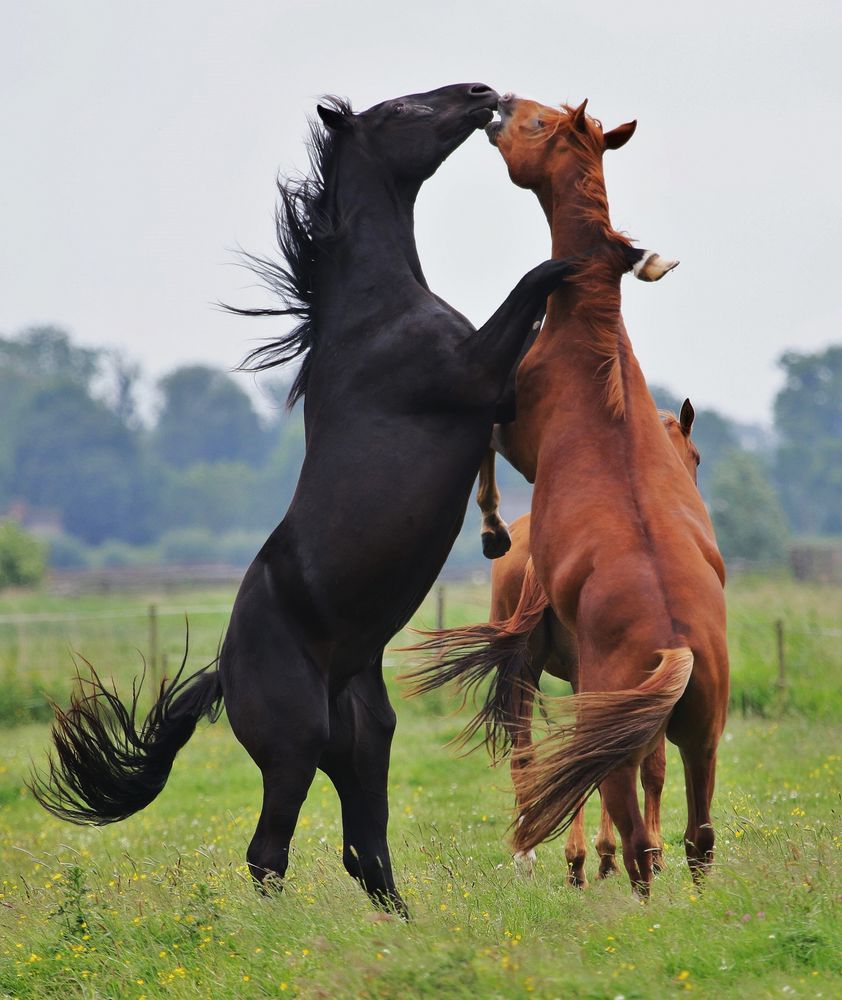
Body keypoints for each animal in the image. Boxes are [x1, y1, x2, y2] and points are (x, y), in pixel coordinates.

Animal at [29, 84, 612, 916]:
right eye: (403, 110)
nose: (480, 93)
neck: (375, 312)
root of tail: (224, 670)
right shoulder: (471, 372)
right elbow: (533, 284)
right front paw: (596, 256)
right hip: (294, 746)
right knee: (269, 853)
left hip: (365, 746)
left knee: (363, 851)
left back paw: (405, 928)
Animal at [404, 94, 724, 896]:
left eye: (541, 124)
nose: (497, 106)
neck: (593, 340)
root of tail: (676, 642)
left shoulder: (509, 418)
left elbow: (483, 441)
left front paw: (491, 528)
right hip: (701, 736)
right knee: (698, 833)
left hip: (611, 726)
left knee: (634, 827)